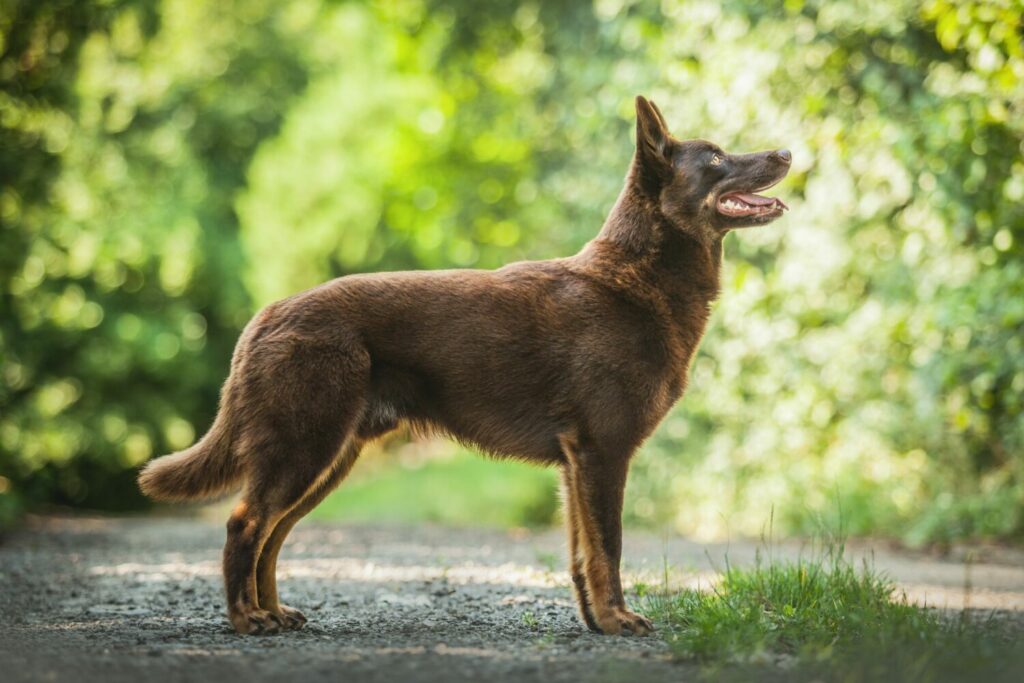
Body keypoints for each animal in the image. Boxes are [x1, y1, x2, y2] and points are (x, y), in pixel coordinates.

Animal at [138, 94, 790, 634]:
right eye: (716, 158)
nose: (785, 152)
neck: (635, 279)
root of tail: (266, 316)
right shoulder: (602, 453)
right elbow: (609, 548)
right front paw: (617, 621)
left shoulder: (576, 465)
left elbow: (583, 555)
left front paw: (595, 621)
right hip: (303, 446)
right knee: (245, 526)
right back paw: (246, 620)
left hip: (327, 457)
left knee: (272, 536)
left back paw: (273, 612)